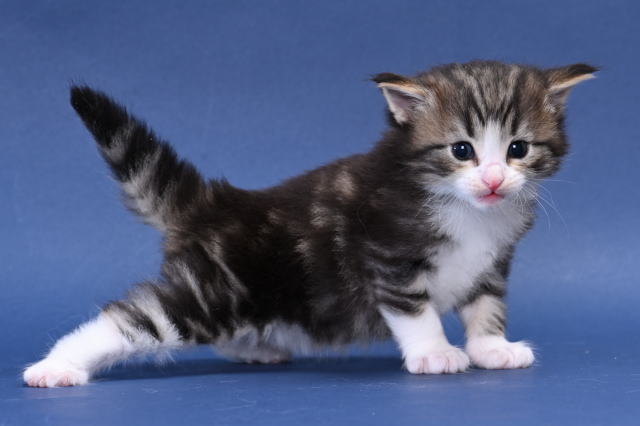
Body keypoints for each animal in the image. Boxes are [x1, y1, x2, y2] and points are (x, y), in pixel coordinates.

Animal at [23, 60, 596, 387]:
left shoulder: (491, 263)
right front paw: (435, 353)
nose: (495, 180)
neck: (467, 210)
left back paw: (258, 350)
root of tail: (216, 202)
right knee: (129, 319)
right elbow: (416, 312)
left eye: (518, 149)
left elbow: (485, 308)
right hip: (214, 291)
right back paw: (56, 367)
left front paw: (491, 348)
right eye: (462, 151)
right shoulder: (388, 256)